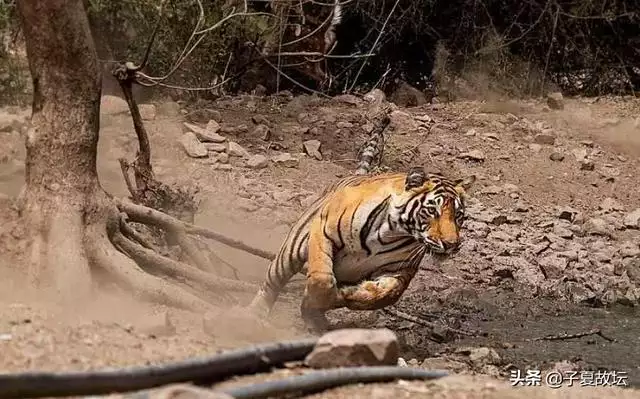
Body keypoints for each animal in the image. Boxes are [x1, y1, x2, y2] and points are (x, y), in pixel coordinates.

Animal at [246, 166, 476, 332]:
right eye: (431, 211)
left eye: (458, 215)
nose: (451, 244)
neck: (391, 233)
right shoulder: (324, 232)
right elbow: (321, 279)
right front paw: (320, 298)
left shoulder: (400, 270)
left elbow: (386, 294)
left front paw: (348, 294)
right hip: (290, 251)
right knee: (271, 283)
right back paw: (254, 315)